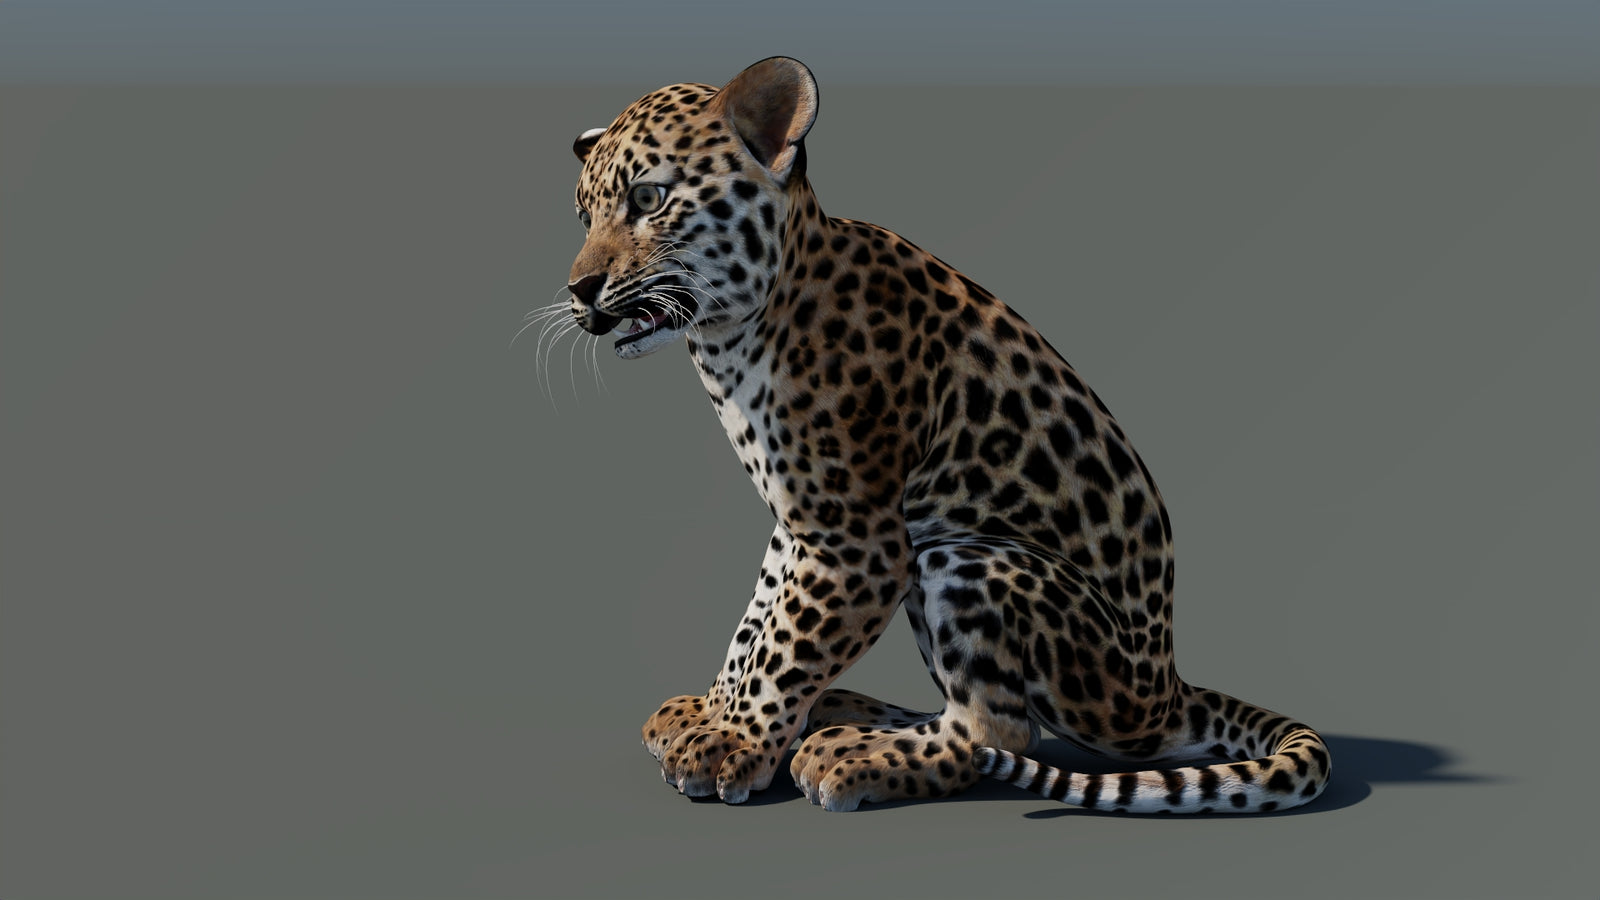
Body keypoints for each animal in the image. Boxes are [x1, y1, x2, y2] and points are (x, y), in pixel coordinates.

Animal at [557, 56, 1331, 813]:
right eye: (584, 215)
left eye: (649, 199)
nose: (578, 289)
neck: (730, 338)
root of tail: (1168, 688)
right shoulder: (797, 524)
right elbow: (755, 620)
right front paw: (714, 714)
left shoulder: (855, 543)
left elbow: (786, 643)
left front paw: (732, 745)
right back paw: (846, 711)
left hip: (966, 557)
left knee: (999, 730)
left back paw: (850, 755)